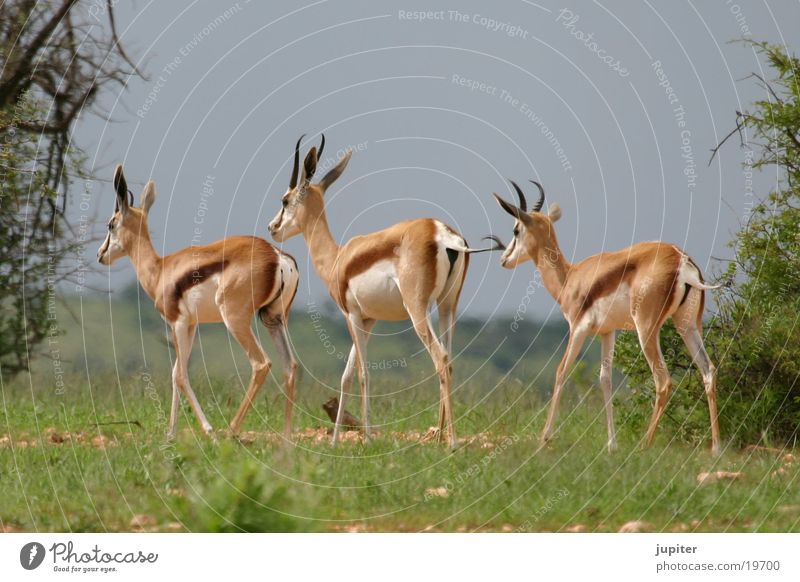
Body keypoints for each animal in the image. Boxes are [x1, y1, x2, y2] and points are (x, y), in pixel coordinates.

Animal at [97, 167, 300, 440]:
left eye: (111, 224)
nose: (100, 254)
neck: (160, 270)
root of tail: (276, 255)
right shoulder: (192, 325)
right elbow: (175, 374)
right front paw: (170, 434)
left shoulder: (178, 322)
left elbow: (181, 375)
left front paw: (208, 430)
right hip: (274, 319)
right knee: (290, 365)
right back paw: (286, 439)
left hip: (236, 321)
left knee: (261, 364)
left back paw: (230, 431)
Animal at [266, 135, 496, 450]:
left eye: (285, 200)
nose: (272, 227)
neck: (338, 258)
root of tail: (442, 233)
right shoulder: (369, 320)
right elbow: (346, 375)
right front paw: (335, 442)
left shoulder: (350, 315)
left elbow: (363, 373)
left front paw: (367, 439)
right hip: (447, 305)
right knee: (449, 359)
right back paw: (438, 437)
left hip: (417, 311)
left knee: (440, 358)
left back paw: (451, 442)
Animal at [490, 180, 720, 454]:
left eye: (516, 230)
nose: (504, 259)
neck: (570, 278)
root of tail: (680, 259)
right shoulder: (607, 332)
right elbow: (605, 379)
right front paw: (612, 445)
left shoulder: (577, 328)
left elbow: (561, 371)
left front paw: (544, 438)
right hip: (687, 326)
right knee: (708, 370)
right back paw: (716, 449)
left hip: (647, 329)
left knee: (663, 381)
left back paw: (644, 446)